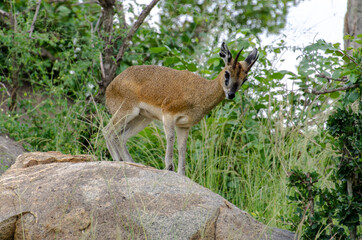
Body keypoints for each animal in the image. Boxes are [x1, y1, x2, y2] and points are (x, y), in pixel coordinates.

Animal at [103, 42, 258, 175]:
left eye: (244, 78)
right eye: (227, 73)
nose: (231, 94)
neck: (199, 91)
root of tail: (110, 87)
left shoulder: (184, 125)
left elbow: (183, 147)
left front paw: (181, 174)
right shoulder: (168, 115)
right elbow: (170, 138)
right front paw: (169, 168)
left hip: (142, 118)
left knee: (121, 137)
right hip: (127, 112)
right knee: (108, 130)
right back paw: (117, 161)